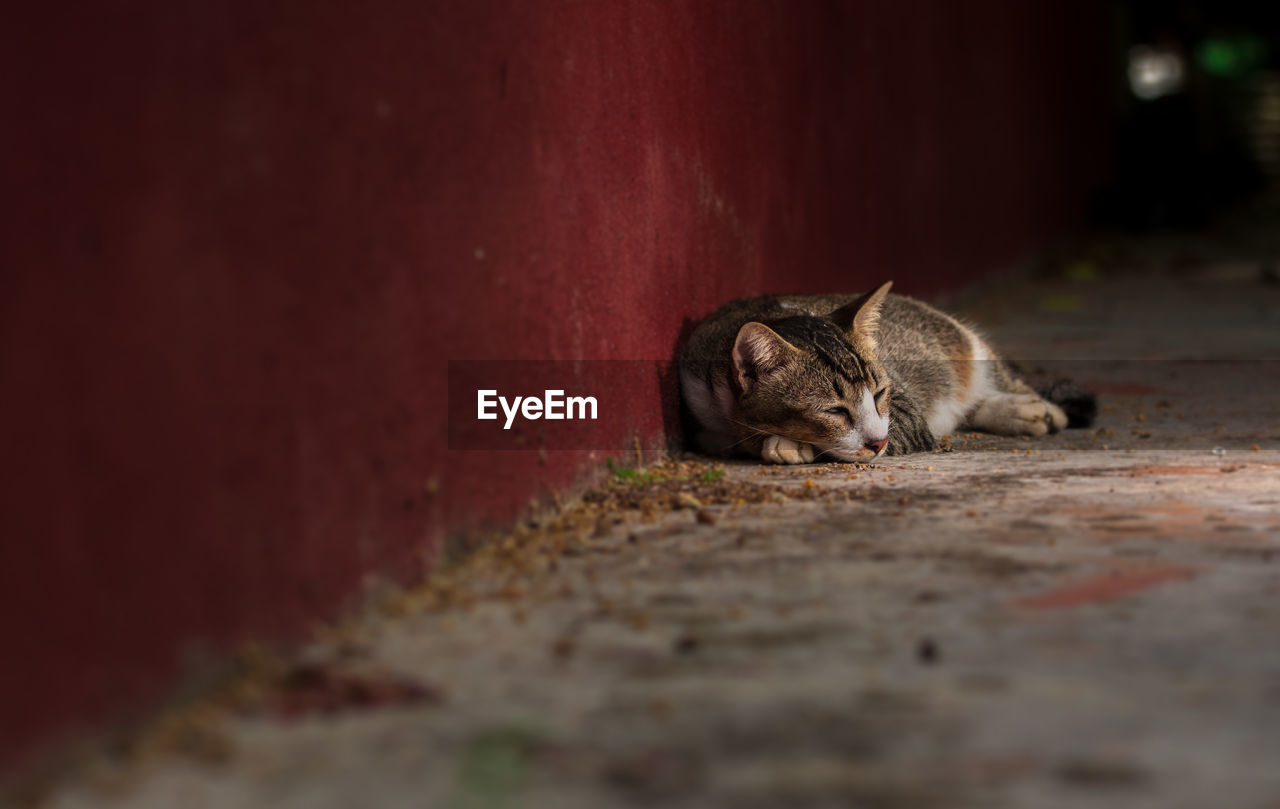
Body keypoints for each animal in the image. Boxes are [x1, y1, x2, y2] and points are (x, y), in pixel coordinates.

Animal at [680, 282, 1090, 460]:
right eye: (834, 410)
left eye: (879, 395)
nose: (877, 442)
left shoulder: (903, 414)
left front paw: (783, 442)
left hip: (966, 345)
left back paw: (1030, 408)